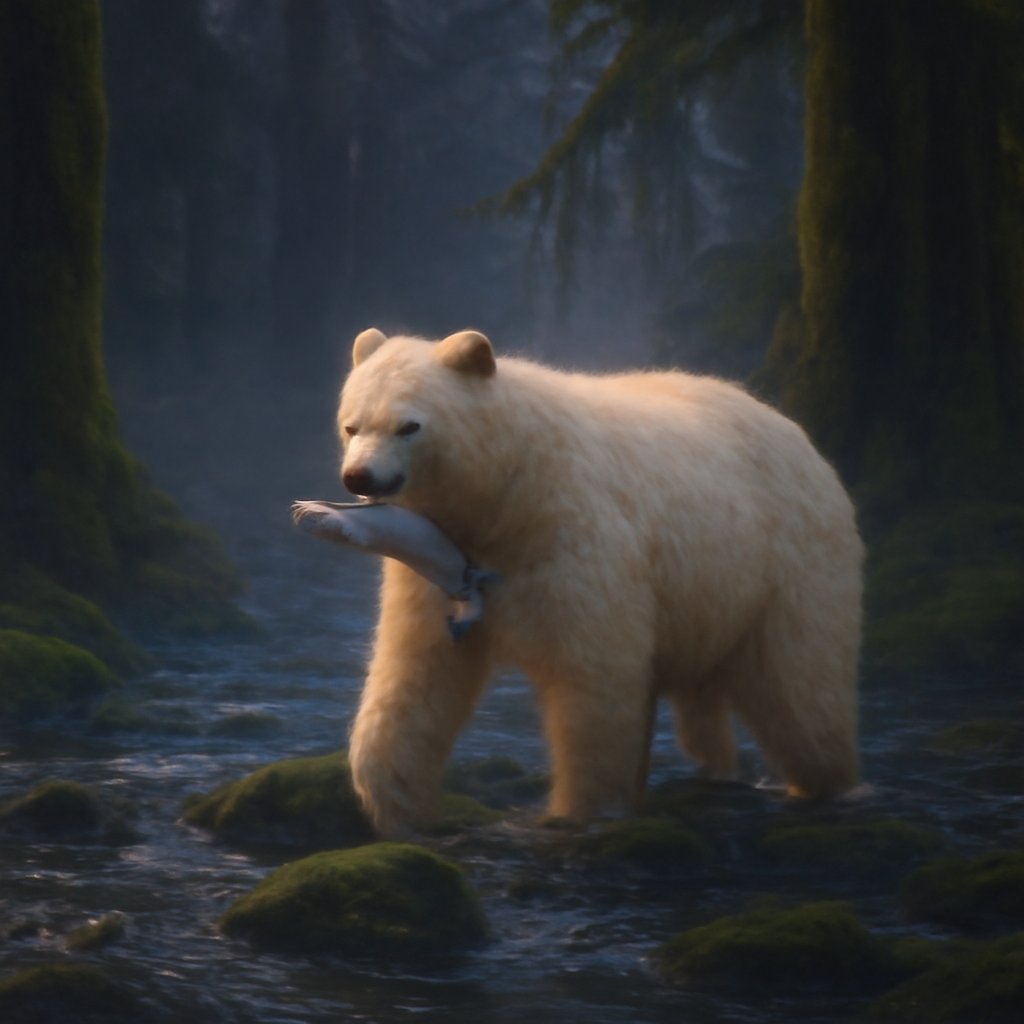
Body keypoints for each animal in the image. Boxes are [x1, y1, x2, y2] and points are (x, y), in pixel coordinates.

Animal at [338, 327, 863, 836]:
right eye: (352, 424)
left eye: (408, 426)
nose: (358, 476)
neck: (510, 496)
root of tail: (798, 435)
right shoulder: (438, 558)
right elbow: (417, 667)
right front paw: (394, 806)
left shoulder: (579, 541)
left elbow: (593, 676)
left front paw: (584, 811)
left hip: (786, 562)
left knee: (801, 685)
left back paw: (829, 783)